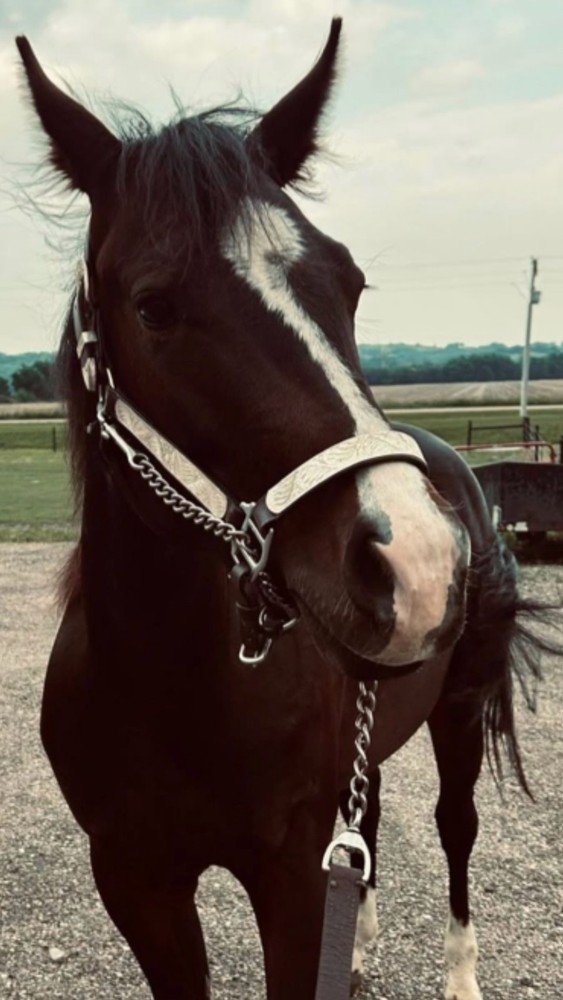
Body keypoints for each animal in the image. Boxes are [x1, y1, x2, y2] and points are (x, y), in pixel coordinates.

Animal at [17, 20, 546, 1000]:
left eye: (350, 281)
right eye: (153, 306)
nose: (414, 562)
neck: (173, 688)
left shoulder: (289, 875)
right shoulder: (135, 880)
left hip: (458, 713)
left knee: (454, 828)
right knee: (368, 832)